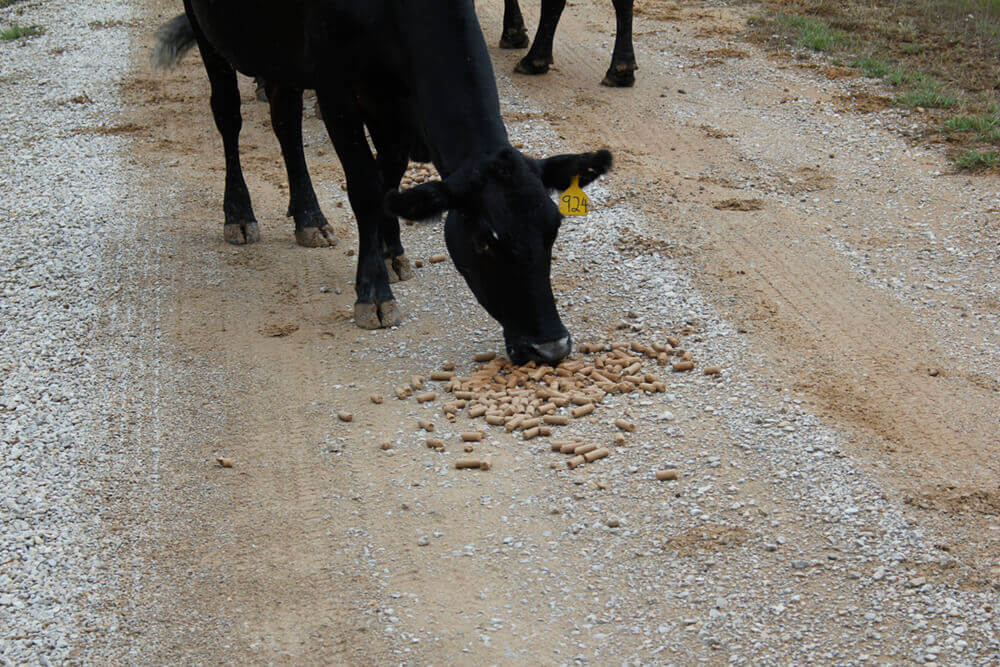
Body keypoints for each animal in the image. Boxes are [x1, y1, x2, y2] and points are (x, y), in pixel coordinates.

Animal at [153, 1, 612, 366]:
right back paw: (239, 214)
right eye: (486, 242)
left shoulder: (394, 102)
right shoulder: (336, 90)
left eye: (553, 231)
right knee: (228, 112)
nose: (551, 347)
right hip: (207, 28)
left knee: (285, 119)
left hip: (280, 54)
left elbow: (389, 178)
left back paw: (309, 217)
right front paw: (373, 293)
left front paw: (392, 252)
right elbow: (365, 189)